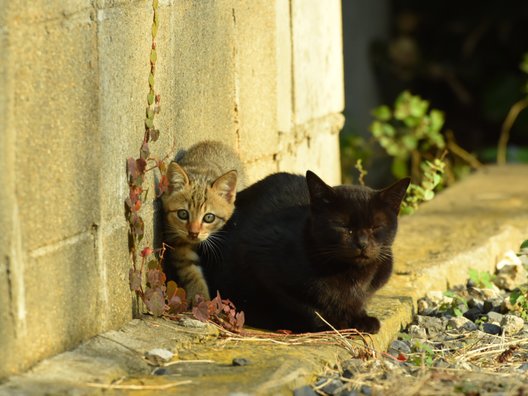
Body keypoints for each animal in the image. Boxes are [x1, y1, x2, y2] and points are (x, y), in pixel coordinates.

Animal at [161, 141, 245, 304]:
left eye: (209, 218)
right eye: (183, 214)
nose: (193, 233)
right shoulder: (180, 245)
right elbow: (191, 273)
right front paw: (201, 299)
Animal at [204, 171, 410, 334]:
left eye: (376, 227)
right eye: (343, 226)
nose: (362, 243)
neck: (349, 274)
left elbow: (358, 301)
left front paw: (361, 318)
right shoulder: (260, 261)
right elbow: (305, 307)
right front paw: (329, 323)